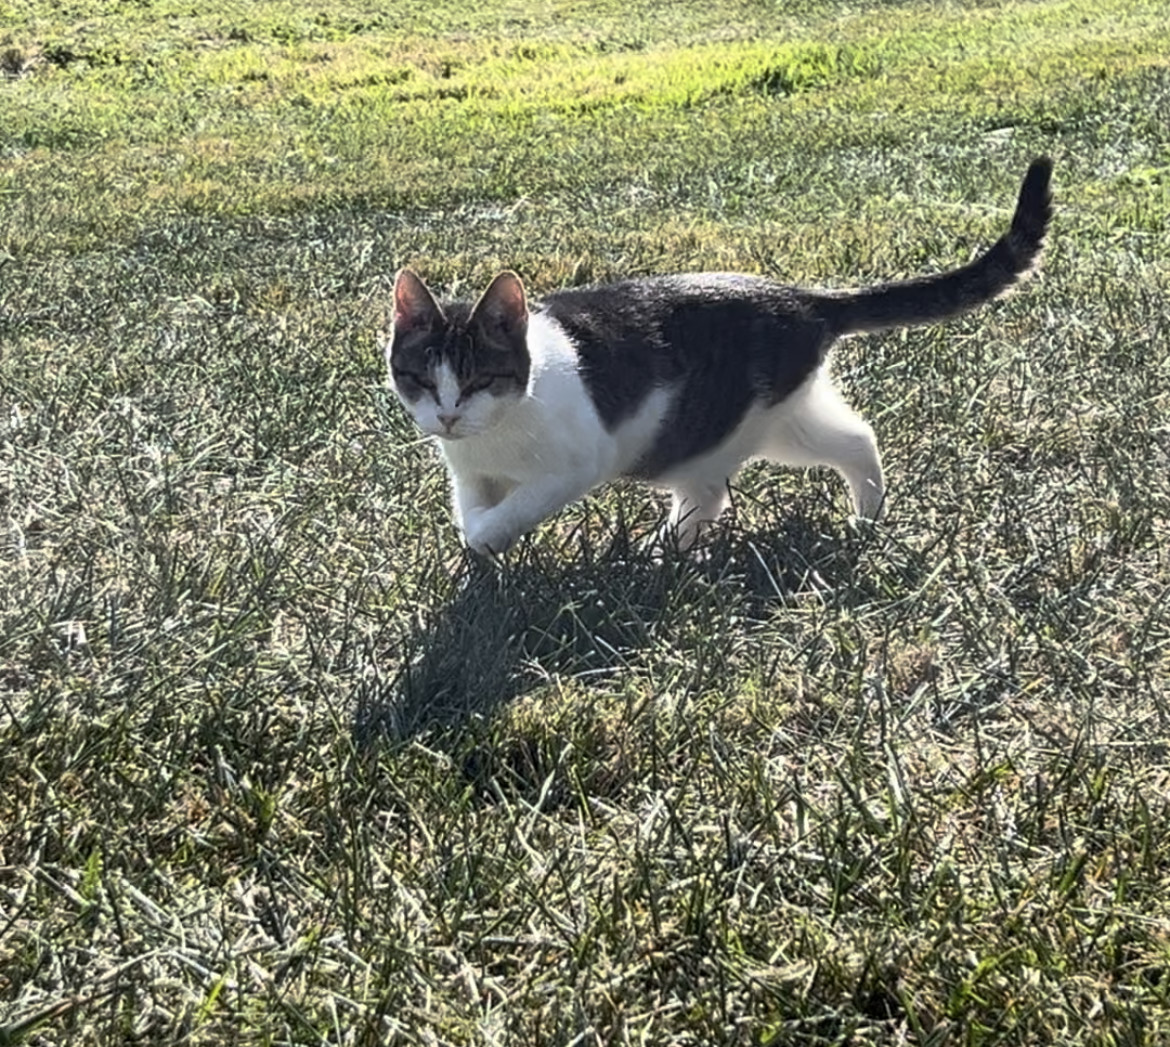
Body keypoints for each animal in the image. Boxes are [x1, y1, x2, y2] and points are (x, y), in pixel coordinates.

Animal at [388, 155, 1057, 556]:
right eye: (421, 378)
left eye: (478, 379)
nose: (448, 415)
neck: (496, 433)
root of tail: (803, 297)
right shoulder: (468, 470)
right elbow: (473, 504)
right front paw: (476, 541)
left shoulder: (574, 465)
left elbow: (512, 511)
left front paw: (485, 541)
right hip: (780, 417)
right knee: (845, 441)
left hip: (732, 424)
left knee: (724, 488)